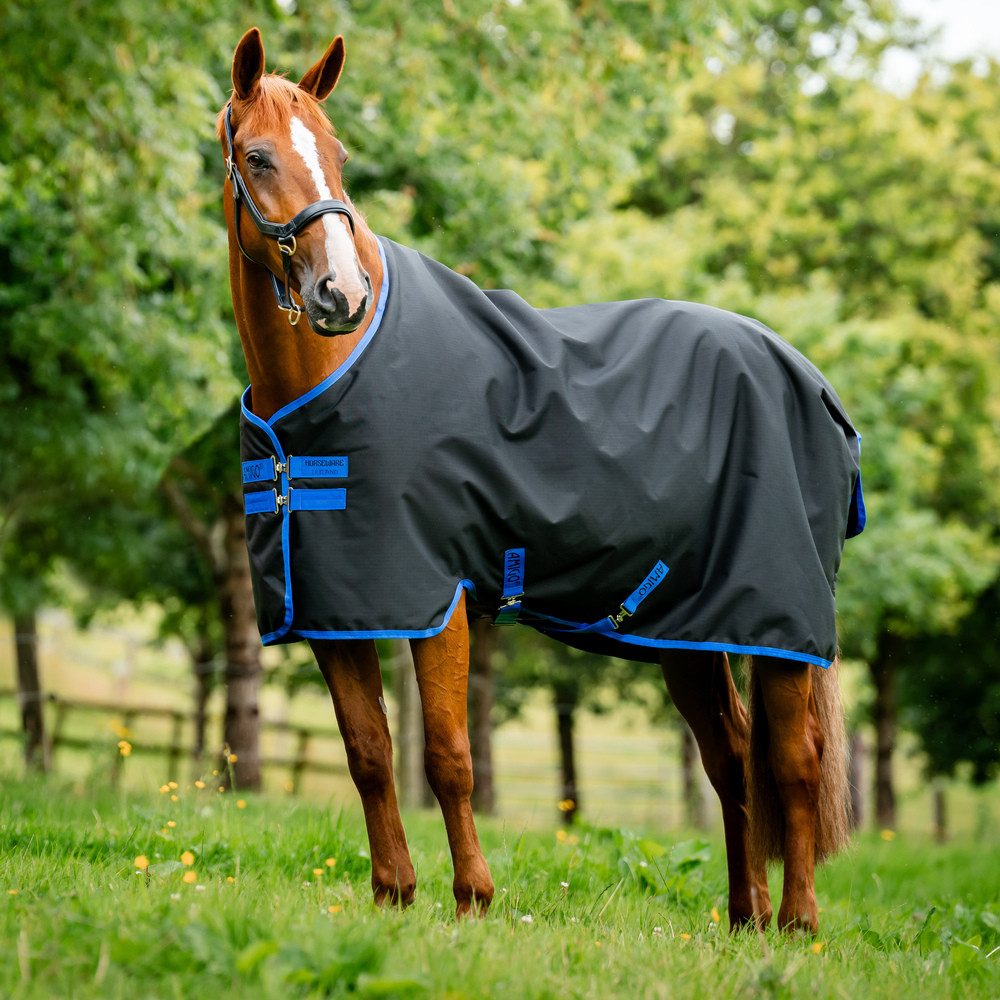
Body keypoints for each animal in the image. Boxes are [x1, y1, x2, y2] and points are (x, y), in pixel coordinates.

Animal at [218, 27, 859, 933]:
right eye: (259, 155)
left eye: (339, 155)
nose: (341, 293)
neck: (330, 378)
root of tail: (813, 381)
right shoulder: (337, 607)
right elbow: (369, 753)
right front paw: (393, 895)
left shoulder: (437, 599)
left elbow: (448, 757)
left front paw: (472, 900)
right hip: (689, 631)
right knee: (731, 757)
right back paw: (744, 919)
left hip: (782, 626)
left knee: (796, 762)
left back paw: (798, 925)